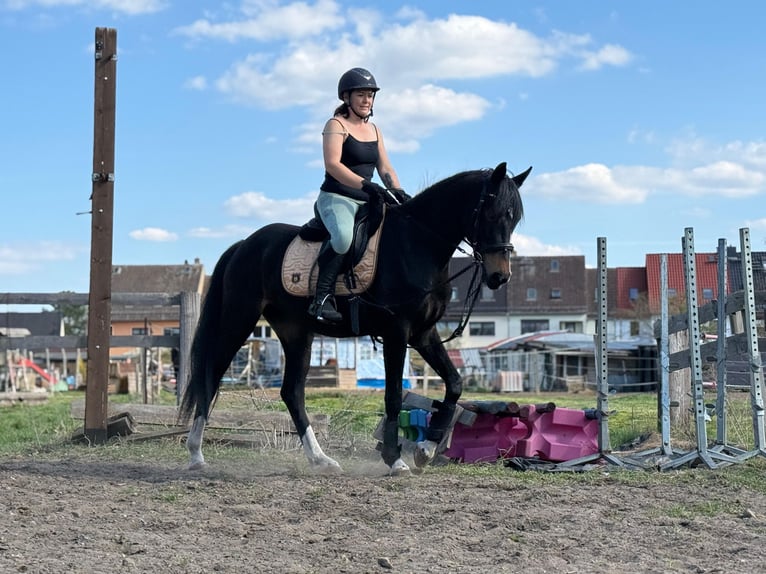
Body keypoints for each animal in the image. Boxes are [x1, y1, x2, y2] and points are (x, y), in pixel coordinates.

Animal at [179, 162, 529, 475]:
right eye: (493, 213)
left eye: (514, 218)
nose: (500, 277)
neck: (417, 244)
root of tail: (244, 245)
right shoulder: (397, 331)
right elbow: (392, 395)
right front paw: (394, 459)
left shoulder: (423, 333)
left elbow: (454, 384)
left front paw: (426, 449)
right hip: (239, 319)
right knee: (211, 374)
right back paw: (195, 453)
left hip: (296, 332)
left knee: (292, 393)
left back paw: (321, 459)